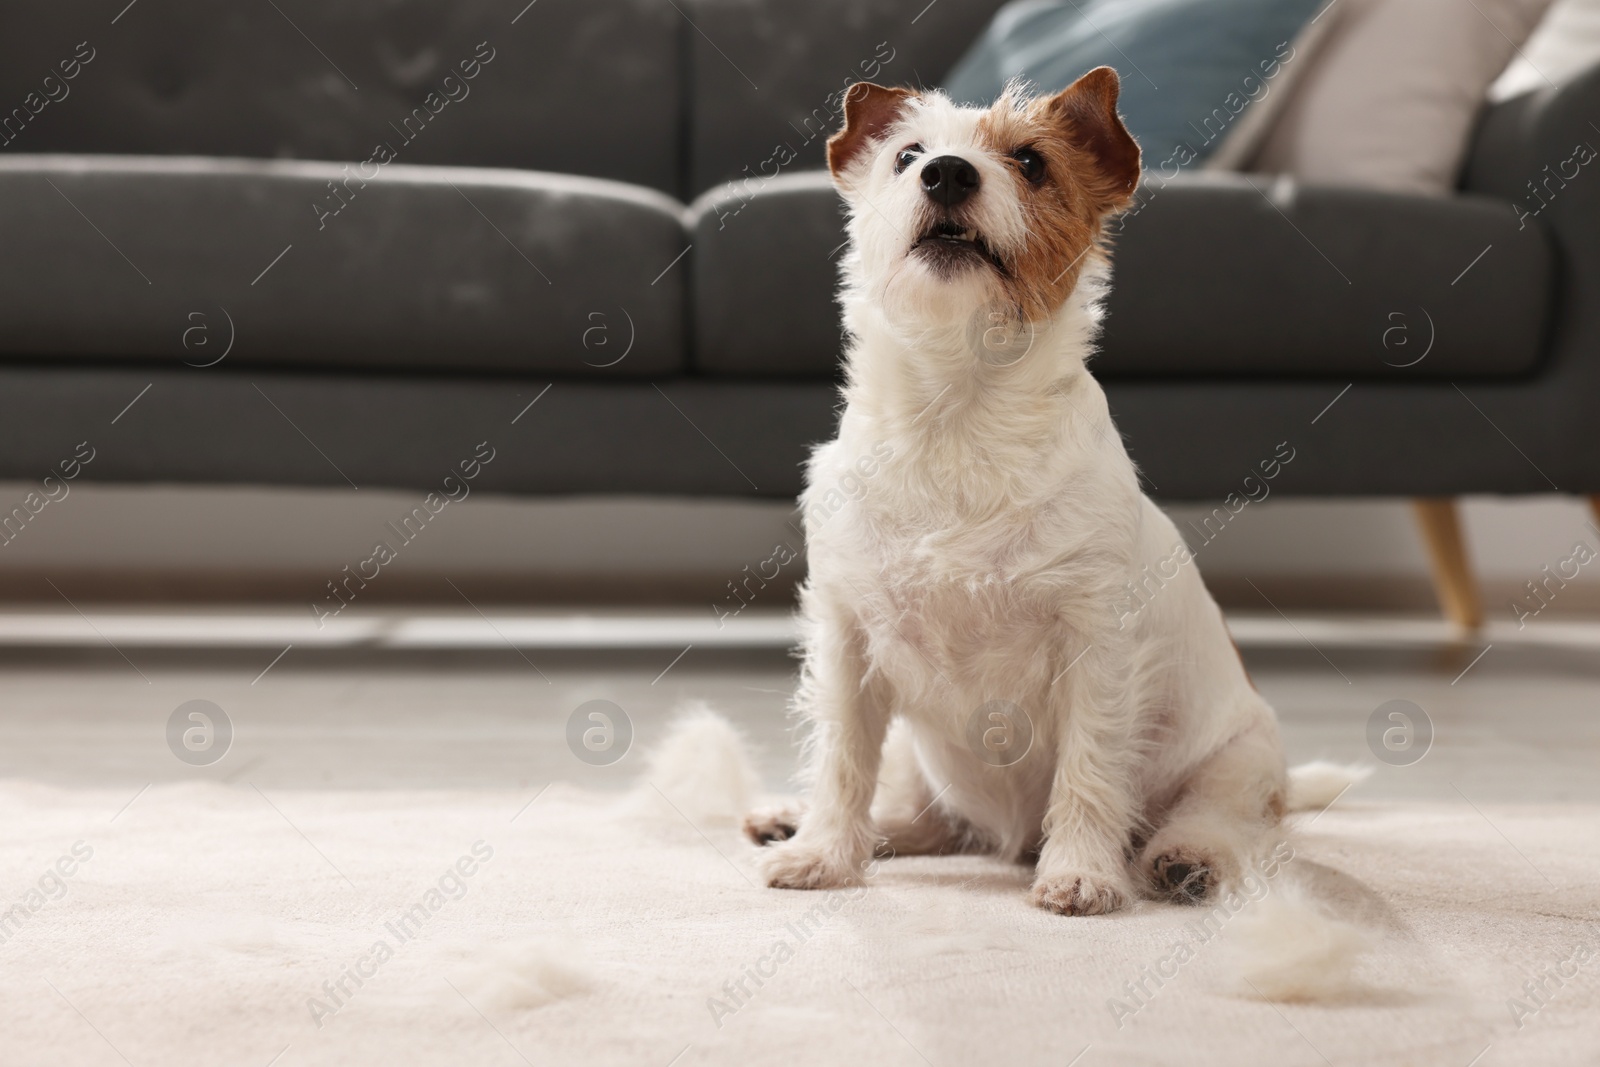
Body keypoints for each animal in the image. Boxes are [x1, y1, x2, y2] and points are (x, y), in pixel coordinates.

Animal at [745, 68, 1286, 921]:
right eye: (907, 155)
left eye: (1031, 162)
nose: (947, 173)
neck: (956, 415)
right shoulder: (847, 639)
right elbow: (842, 758)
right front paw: (822, 854)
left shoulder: (1096, 645)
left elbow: (1090, 768)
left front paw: (1082, 874)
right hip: (920, 755)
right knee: (916, 811)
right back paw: (804, 820)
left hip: (1242, 757)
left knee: (1221, 815)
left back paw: (1184, 859)